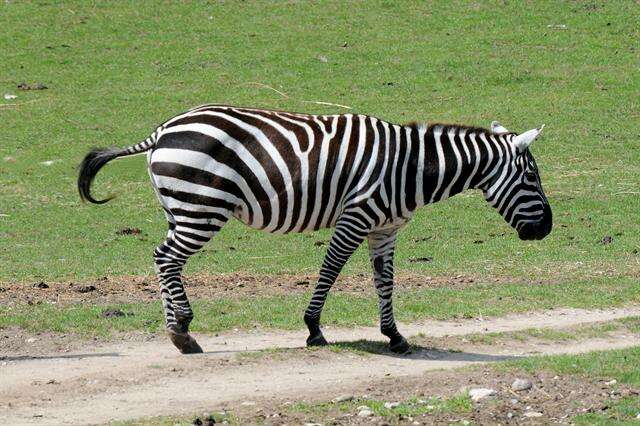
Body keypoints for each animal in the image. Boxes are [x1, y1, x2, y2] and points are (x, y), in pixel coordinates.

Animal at [77, 105, 552, 354]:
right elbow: (331, 270)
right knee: (166, 258)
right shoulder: (355, 217)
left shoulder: (386, 229)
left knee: (165, 260)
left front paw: (395, 336)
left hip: (180, 208)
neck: (412, 169)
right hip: (201, 207)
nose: (546, 229)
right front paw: (314, 329)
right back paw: (183, 332)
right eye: (532, 177)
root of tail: (162, 129)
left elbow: (385, 282)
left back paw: (175, 328)